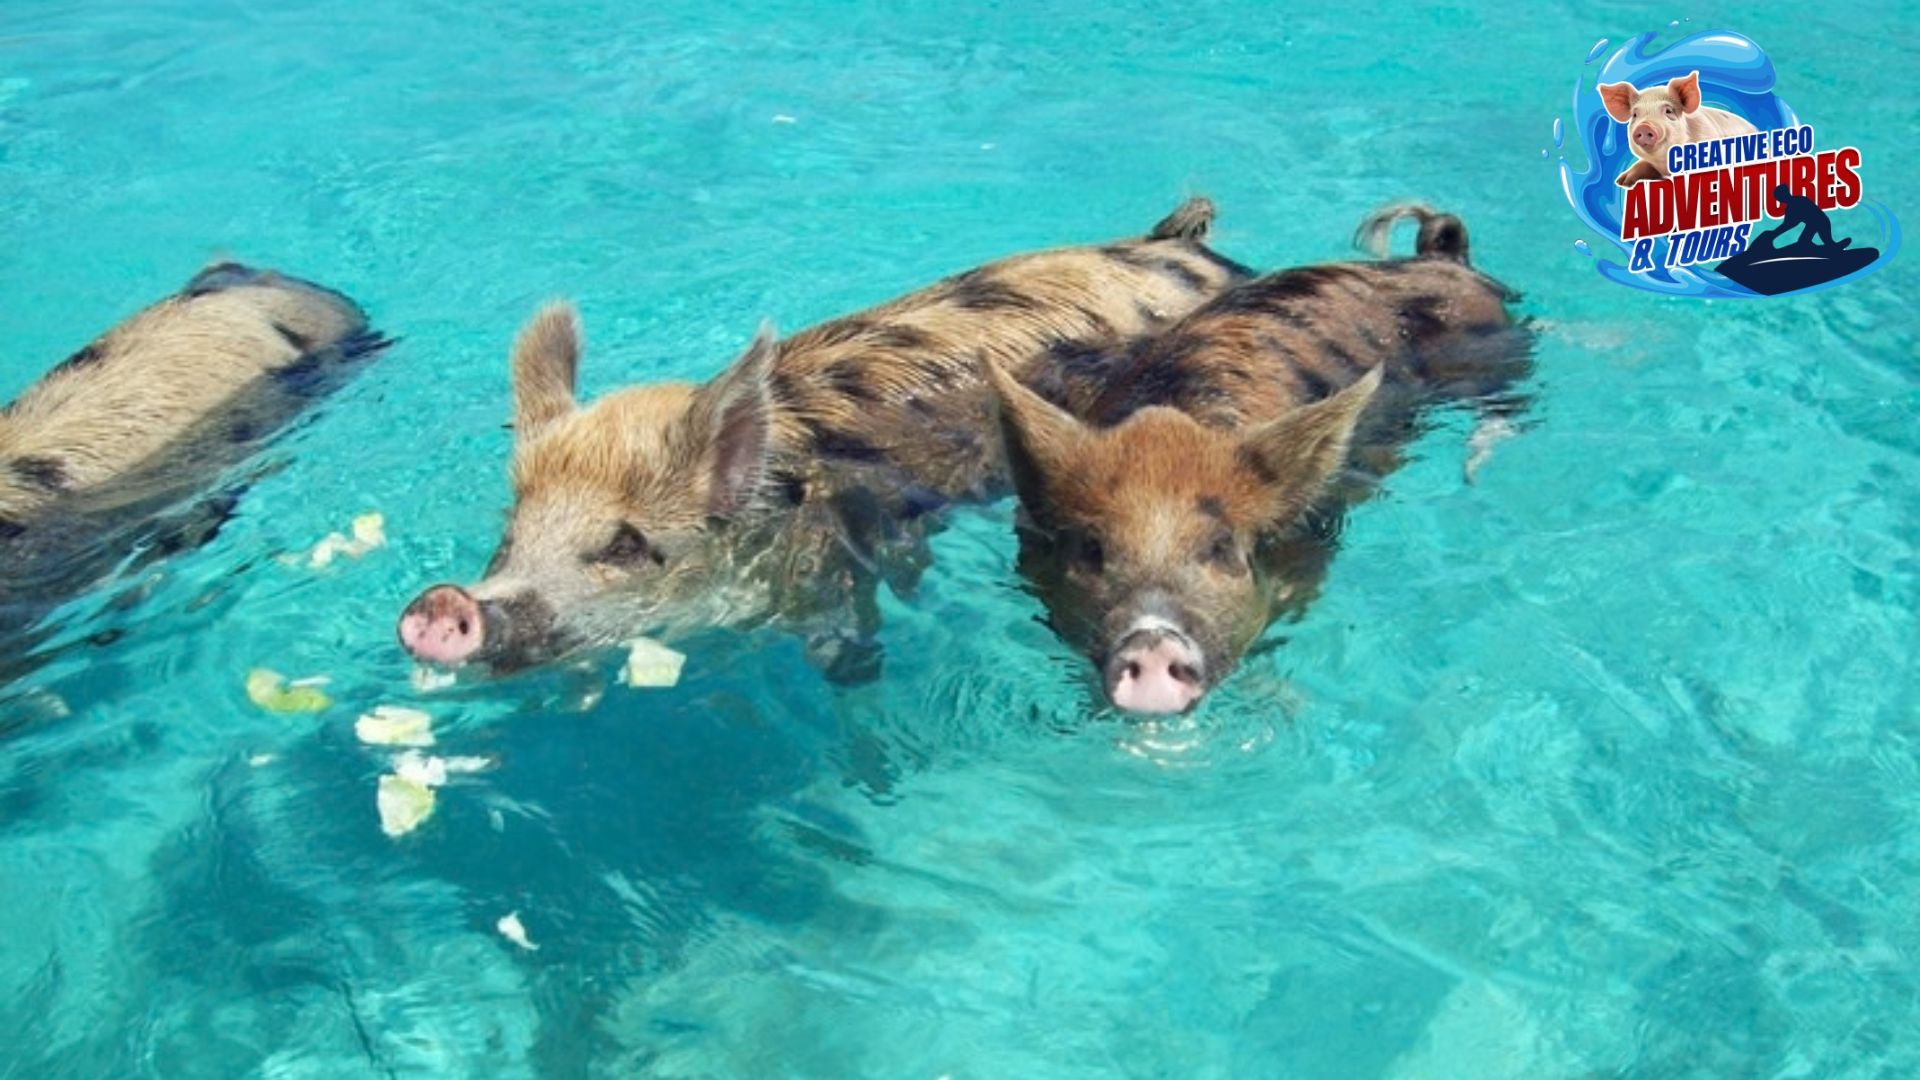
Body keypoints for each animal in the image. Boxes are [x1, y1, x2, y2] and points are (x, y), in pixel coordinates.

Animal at [985, 204, 1533, 714]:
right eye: (1092, 548)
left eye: (1222, 547)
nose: (1153, 641)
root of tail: (1442, 258)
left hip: (1500, 356)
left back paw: (1475, 471)